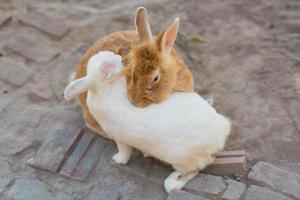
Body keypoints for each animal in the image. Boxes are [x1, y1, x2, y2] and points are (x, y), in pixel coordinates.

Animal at [63, 50, 232, 193]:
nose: (121, 57)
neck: (105, 91)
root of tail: (221, 132)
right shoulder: (120, 139)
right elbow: (125, 152)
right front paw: (119, 160)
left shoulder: (121, 140)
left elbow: (124, 153)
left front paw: (117, 160)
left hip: (181, 160)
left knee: (193, 170)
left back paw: (174, 181)